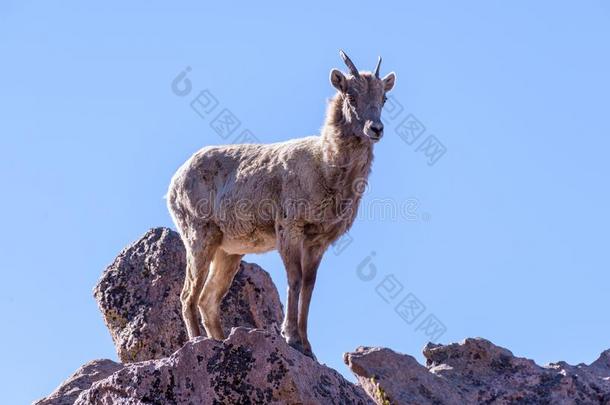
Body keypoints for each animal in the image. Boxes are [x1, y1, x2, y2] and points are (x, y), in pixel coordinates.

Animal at [167, 50, 394, 356]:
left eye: (384, 98)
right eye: (351, 95)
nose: (376, 129)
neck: (325, 167)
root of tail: (174, 183)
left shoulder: (318, 241)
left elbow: (309, 286)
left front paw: (308, 347)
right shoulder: (290, 228)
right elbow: (295, 280)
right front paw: (291, 338)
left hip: (228, 252)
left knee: (208, 299)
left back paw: (221, 341)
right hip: (199, 237)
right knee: (188, 296)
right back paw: (198, 343)